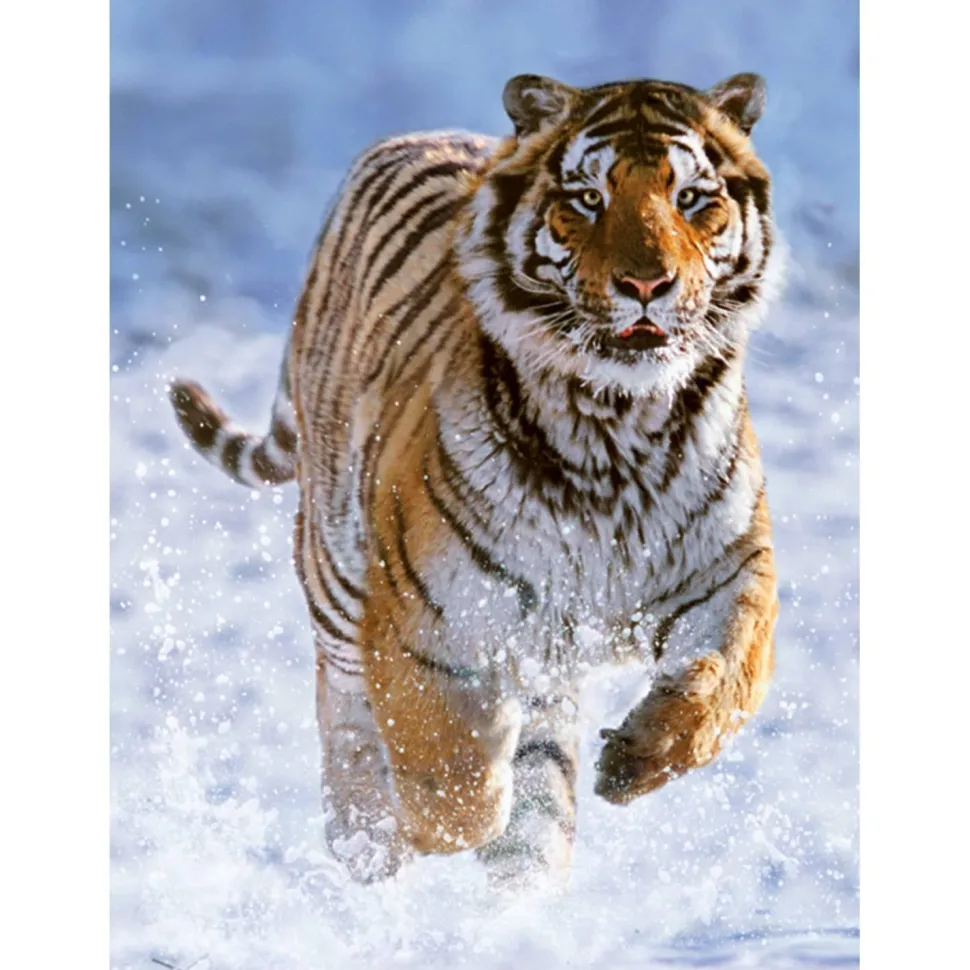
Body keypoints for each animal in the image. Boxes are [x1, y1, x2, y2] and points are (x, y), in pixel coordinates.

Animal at [169, 71, 783, 890]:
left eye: (691, 198)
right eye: (587, 198)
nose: (648, 283)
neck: (615, 427)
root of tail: (413, 136)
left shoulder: (731, 571)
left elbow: (726, 681)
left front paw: (635, 760)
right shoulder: (423, 620)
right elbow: (452, 784)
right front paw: (422, 823)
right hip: (336, 573)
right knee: (345, 712)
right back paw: (366, 843)